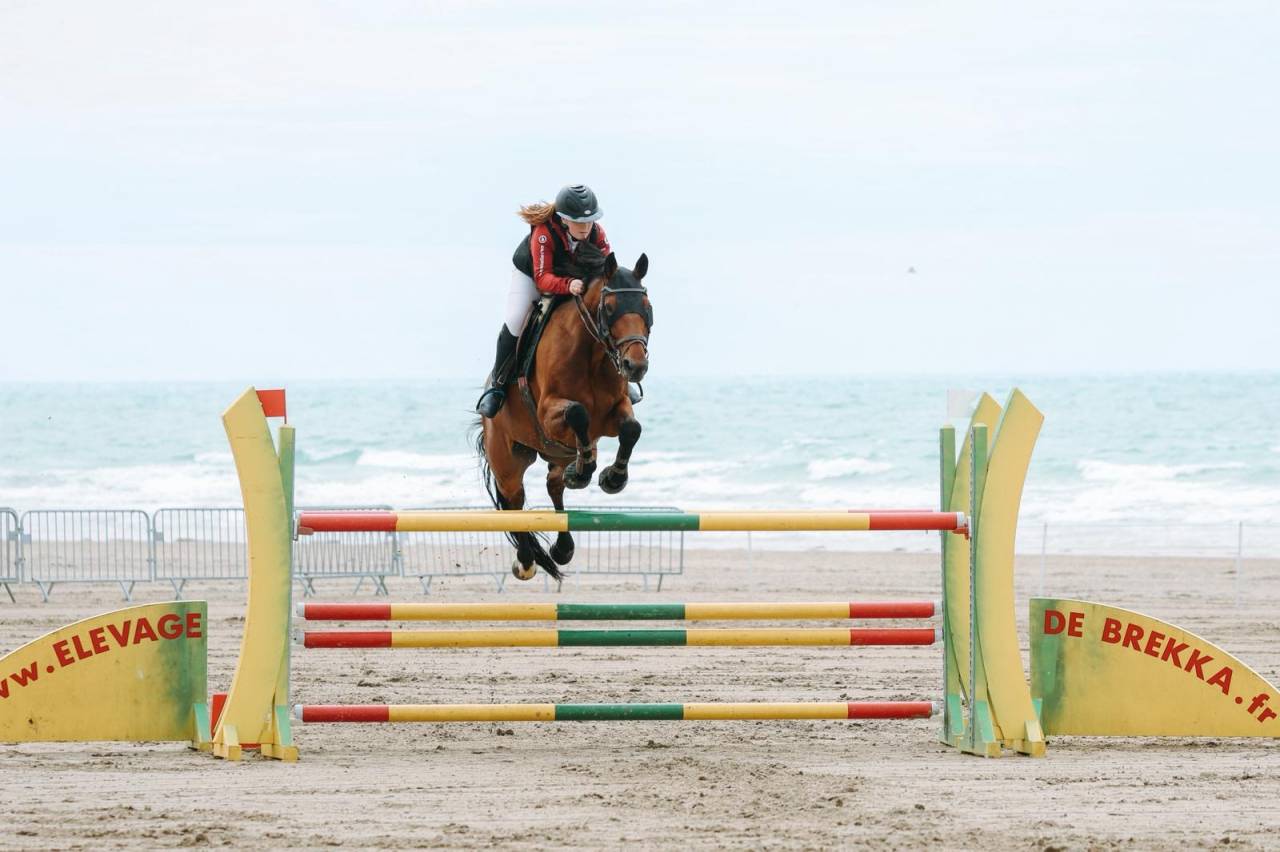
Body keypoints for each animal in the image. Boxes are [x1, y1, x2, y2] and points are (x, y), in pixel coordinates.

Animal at [475, 245, 653, 581]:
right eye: (610, 307)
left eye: (647, 307)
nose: (635, 365)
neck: (593, 354)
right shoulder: (548, 412)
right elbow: (578, 413)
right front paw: (586, 471)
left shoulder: (615, 412)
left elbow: (631, 430)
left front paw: (612, 477)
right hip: (508, 460)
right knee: (514, 501)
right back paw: (526, 561)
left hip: (554, 453)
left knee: (553, 485)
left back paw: (564, 546)